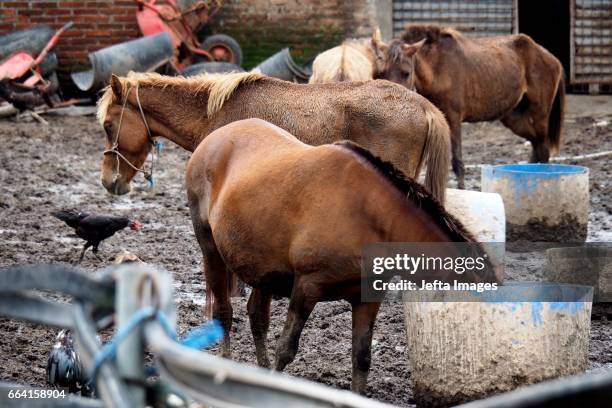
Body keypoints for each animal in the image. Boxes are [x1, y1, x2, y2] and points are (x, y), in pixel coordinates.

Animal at [185, 117, 498, 392]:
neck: (370, 215)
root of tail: (212, 139)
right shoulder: (308, 286)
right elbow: (285, 349)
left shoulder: (367, 297)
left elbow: (361, 358)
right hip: (211, 251)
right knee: (224, 313)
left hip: (263, 270)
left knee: (257, 317)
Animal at [370, 26, 568, 189]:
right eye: (380, 72)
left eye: (406, 73)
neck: (437, 68)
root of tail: (553, 59)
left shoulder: (453, 118)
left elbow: (457, 162)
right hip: (515, 118)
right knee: (536, 148)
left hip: (539, 114)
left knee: (543, 150)